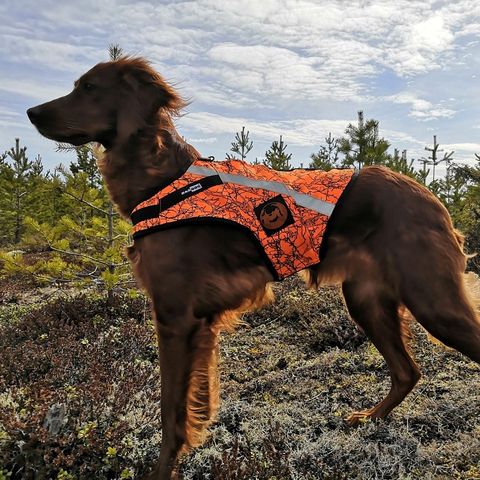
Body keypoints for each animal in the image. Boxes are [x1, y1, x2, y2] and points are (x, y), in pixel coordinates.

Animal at [28, 57, 478, 480]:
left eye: (89, 88)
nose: (31, 112)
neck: (162, 182)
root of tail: (429, 195)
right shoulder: (200, 325)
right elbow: (195, 404)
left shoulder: (174, 318)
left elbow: (171, 412)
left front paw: (161, 471)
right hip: (366, 301)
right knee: (407, 371)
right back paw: (369, 418)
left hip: (432, 300)